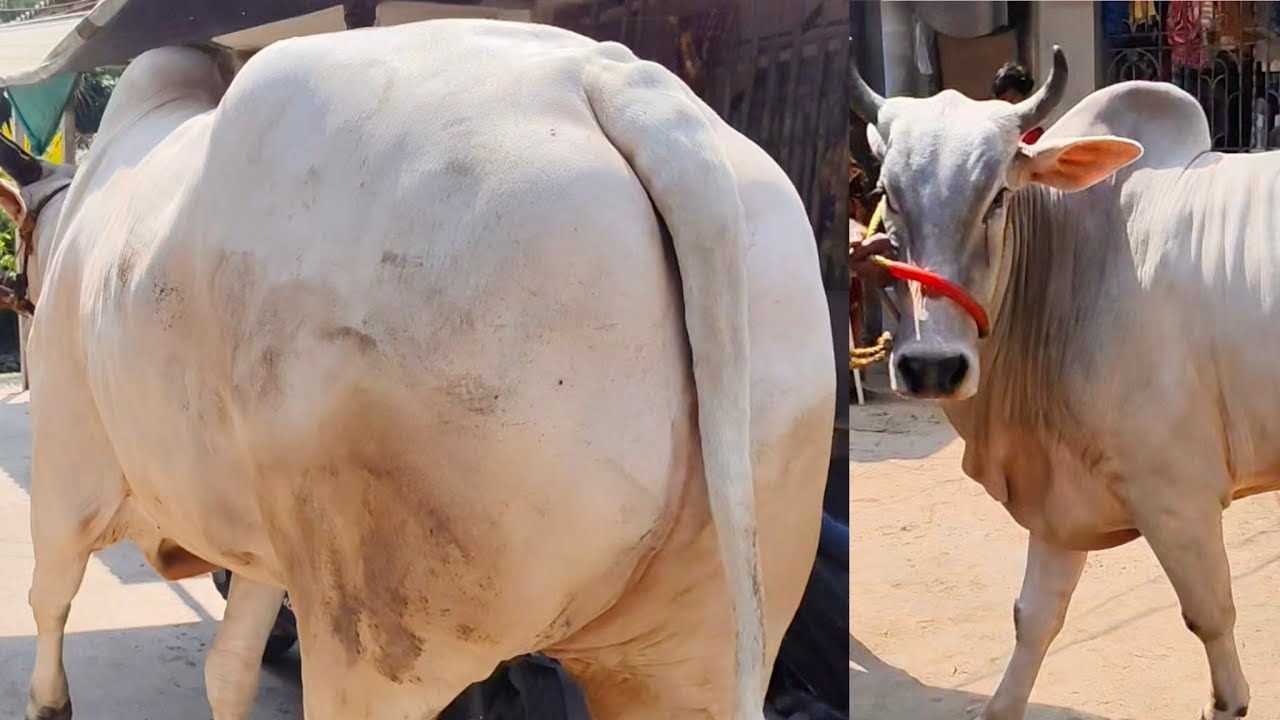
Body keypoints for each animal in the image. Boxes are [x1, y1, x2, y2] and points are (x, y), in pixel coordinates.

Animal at [2, 18, 834, 720]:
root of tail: (620, 84)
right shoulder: (267, 547)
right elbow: (228, 667)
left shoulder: (68, 469)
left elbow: (49, 597)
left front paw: (47, 701)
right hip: (695, 640)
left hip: (378, 633)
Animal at [851, 46, 1278, 720]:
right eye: (887, 194)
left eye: (999, 195)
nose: (932, 367)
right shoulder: (1061, 495)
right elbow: (1034, 619)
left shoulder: (1177, 495)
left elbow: (1211, 623)